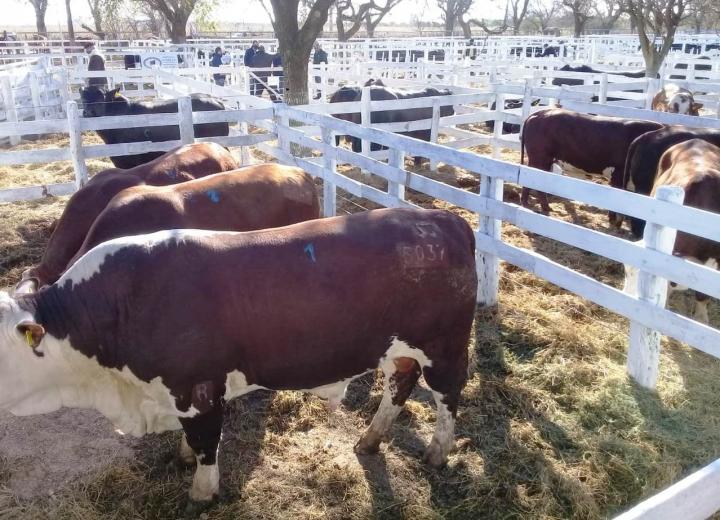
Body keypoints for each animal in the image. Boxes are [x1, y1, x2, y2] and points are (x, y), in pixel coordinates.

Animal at [516, 108, 664, 214]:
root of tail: (539, 113)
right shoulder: (619, 174)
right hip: (539, 157)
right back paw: (531, 205)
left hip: (544, 160)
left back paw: (542, 207)